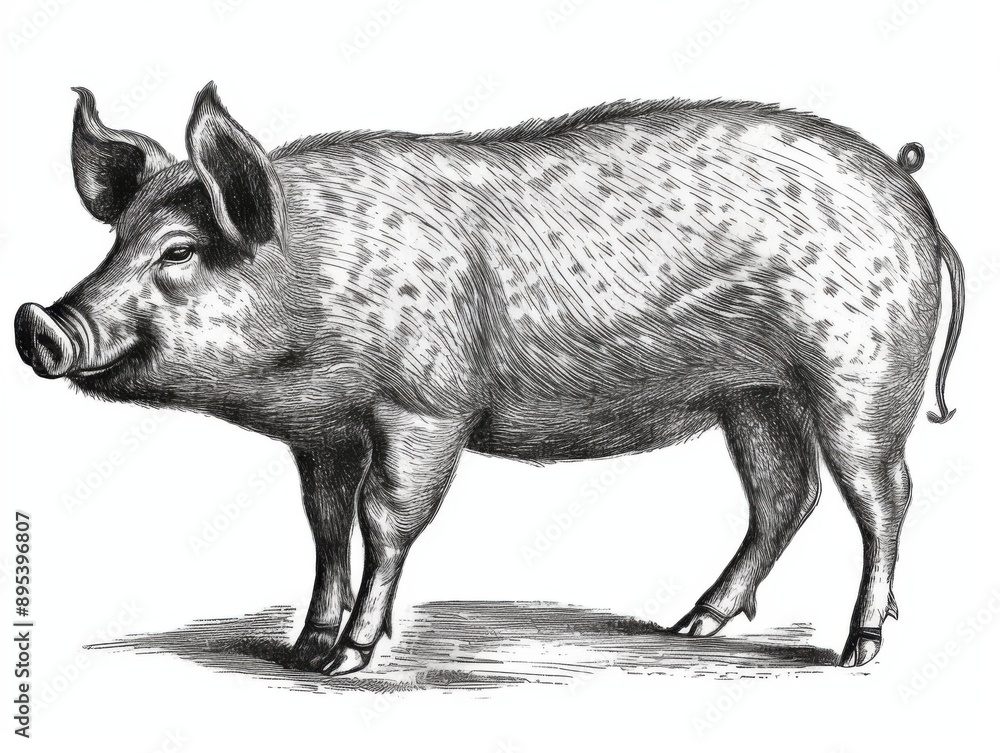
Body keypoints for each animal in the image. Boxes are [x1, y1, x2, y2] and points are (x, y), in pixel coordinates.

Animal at [14, 83, 964, 674]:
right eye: (117, 241)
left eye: (179, 251)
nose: (37, 324)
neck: (318, 280)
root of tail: (912, 193)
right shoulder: (323, 428)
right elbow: (324, 524)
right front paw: (304, 649)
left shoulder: (426, 409)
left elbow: (385, 519)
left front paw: (350, 658)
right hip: (756, 392)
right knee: (785, 494)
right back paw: (691, 623)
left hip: (862, 378)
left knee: (884, 496)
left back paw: (856, 648)